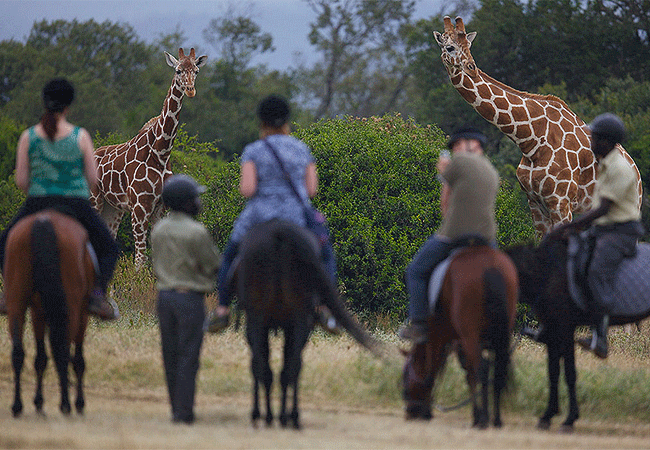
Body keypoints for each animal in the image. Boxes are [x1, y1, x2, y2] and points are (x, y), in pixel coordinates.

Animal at [4, 210, 95, 417]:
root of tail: (44, 221)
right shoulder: (80, 313)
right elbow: (76, 359)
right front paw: (78, 403)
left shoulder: (38, 311)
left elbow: (41, 357)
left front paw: (38, 402)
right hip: (71, 306)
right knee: (62, 349)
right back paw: (66, 404)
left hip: (17, 298)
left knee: (18, 352)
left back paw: (18, 405)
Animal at [233, 219, 380, 429]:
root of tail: (279, 232)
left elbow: (259, 365)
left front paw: (262, 414)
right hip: (295, 321)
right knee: (290, 367)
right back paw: (288, 417)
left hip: (265, 320)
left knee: (270, 367)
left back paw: (274, 416)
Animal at [402, 244, 518, 428]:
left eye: (405, 379)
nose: (409, 413)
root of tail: (490, 265)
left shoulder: (446, 340)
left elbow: (438, 369)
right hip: (500, 337)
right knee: (496, 371)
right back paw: (497, 420)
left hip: (470, 336)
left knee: (479, 370)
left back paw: (481, 419)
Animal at [506, 237, 650, 432]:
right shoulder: (554, 331)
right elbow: (553, 372)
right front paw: (549, 416)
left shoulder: (565, 328)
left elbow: (569, 373)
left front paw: (568, 419)